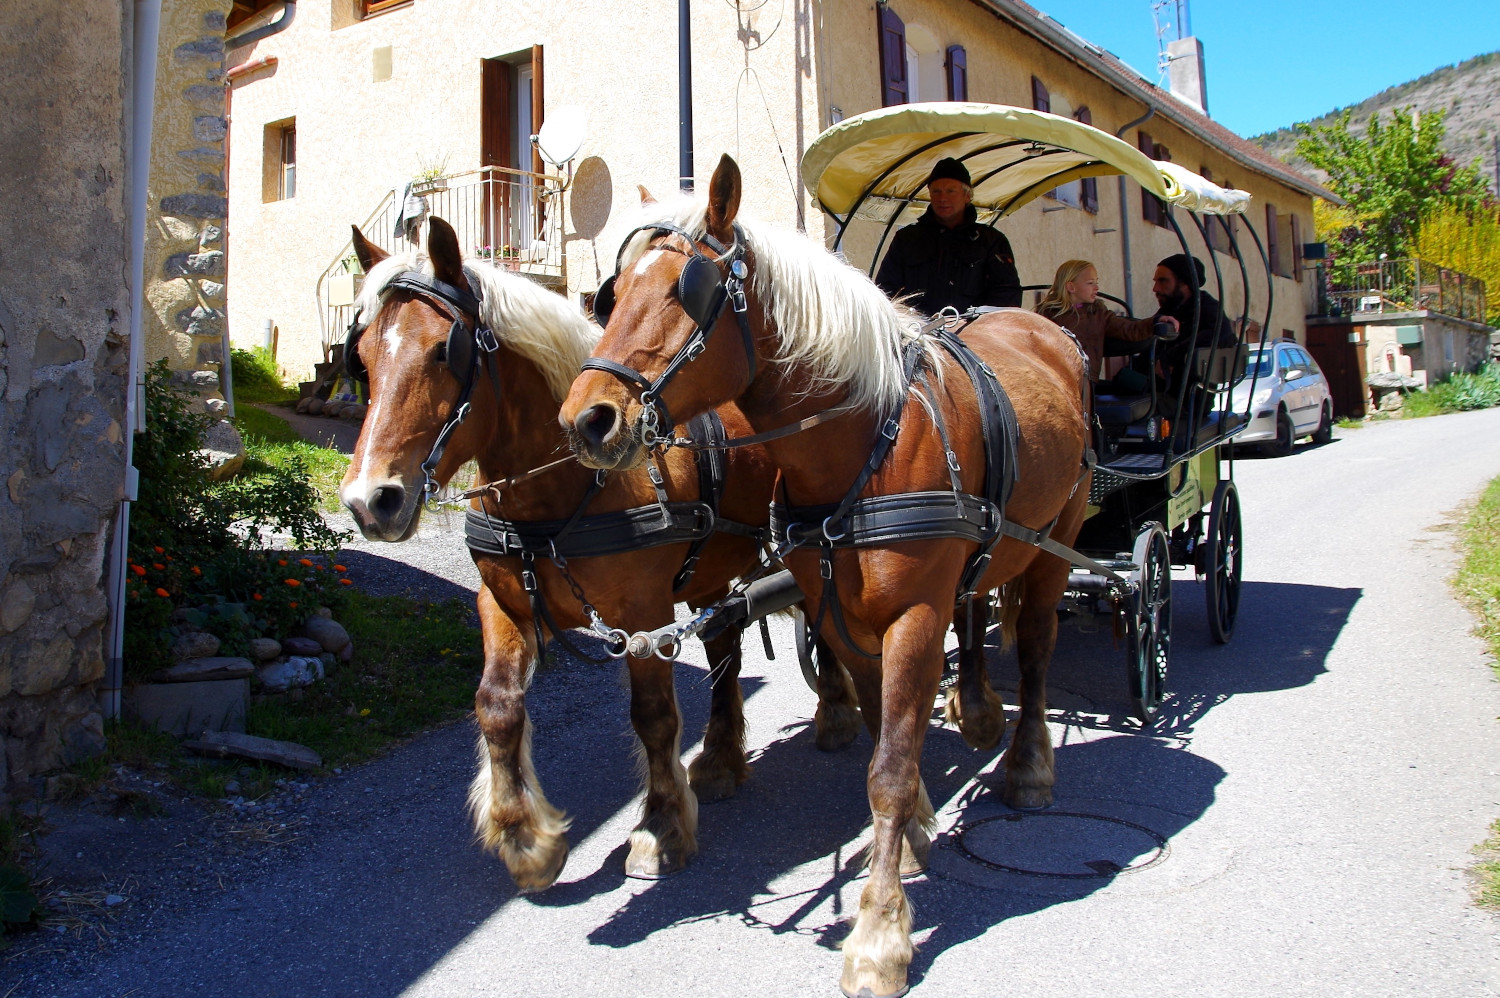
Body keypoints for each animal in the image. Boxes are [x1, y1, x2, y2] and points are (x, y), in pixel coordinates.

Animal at [339, 217, 858, 888]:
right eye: (363, 359)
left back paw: (837, 712)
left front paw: (660, 826)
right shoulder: (502, 603)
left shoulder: (643, 616)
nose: (369, 501)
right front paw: (523, 836)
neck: (566, 494)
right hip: (711, 571)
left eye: (441, 353)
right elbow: (496, 706)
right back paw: (719, 759)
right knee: (724, 647)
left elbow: (653, 715)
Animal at [564, 156, 1092, 996]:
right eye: (612, 295)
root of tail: (1049, 329)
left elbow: (888, 767)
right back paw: (977, 711)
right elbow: (884, 736)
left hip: (1054, 544)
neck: (866, 442)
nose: (587, 420)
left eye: (686, 291)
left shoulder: (913, 618)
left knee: (1037, 649)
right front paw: (917, 829)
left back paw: (1029, 763)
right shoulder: (841, 612)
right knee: (979, 609)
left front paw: (879, 932)